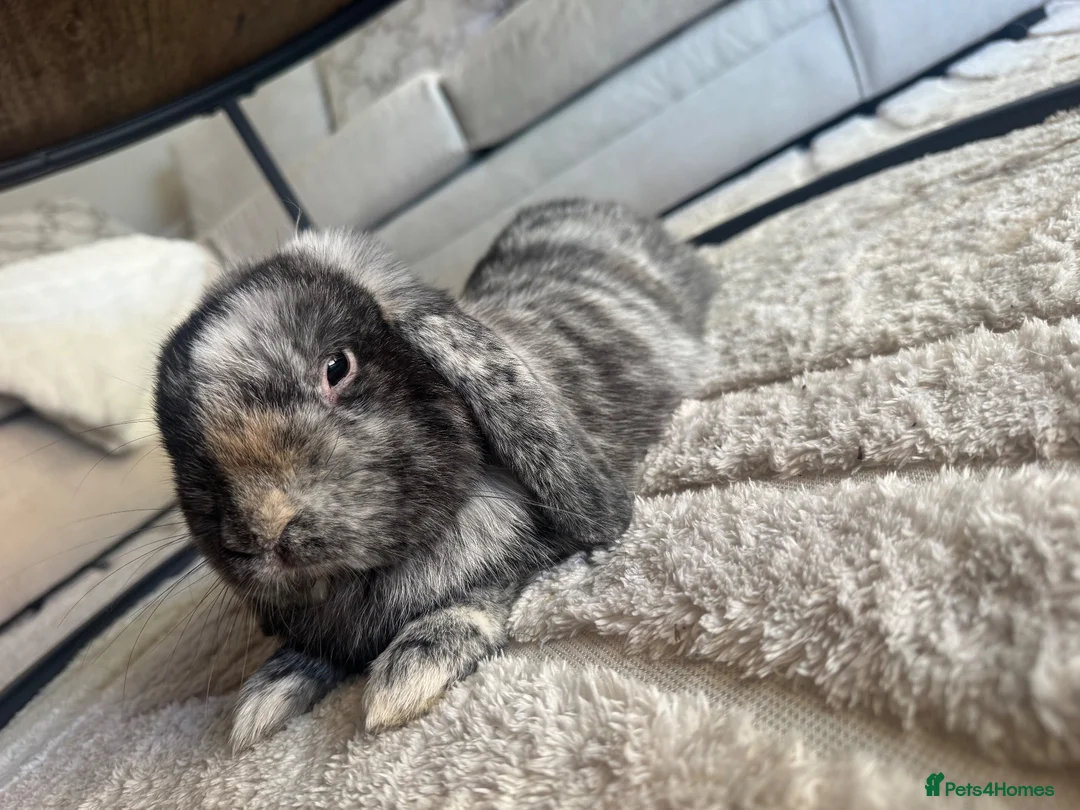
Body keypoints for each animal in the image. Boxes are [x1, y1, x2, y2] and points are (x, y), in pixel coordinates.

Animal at [153, 199, 715, 752]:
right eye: (177, 445)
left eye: (338, 367)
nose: (256, 534)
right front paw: (264, 698)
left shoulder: (528, 561)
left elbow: (477, 598)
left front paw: (403, 679)